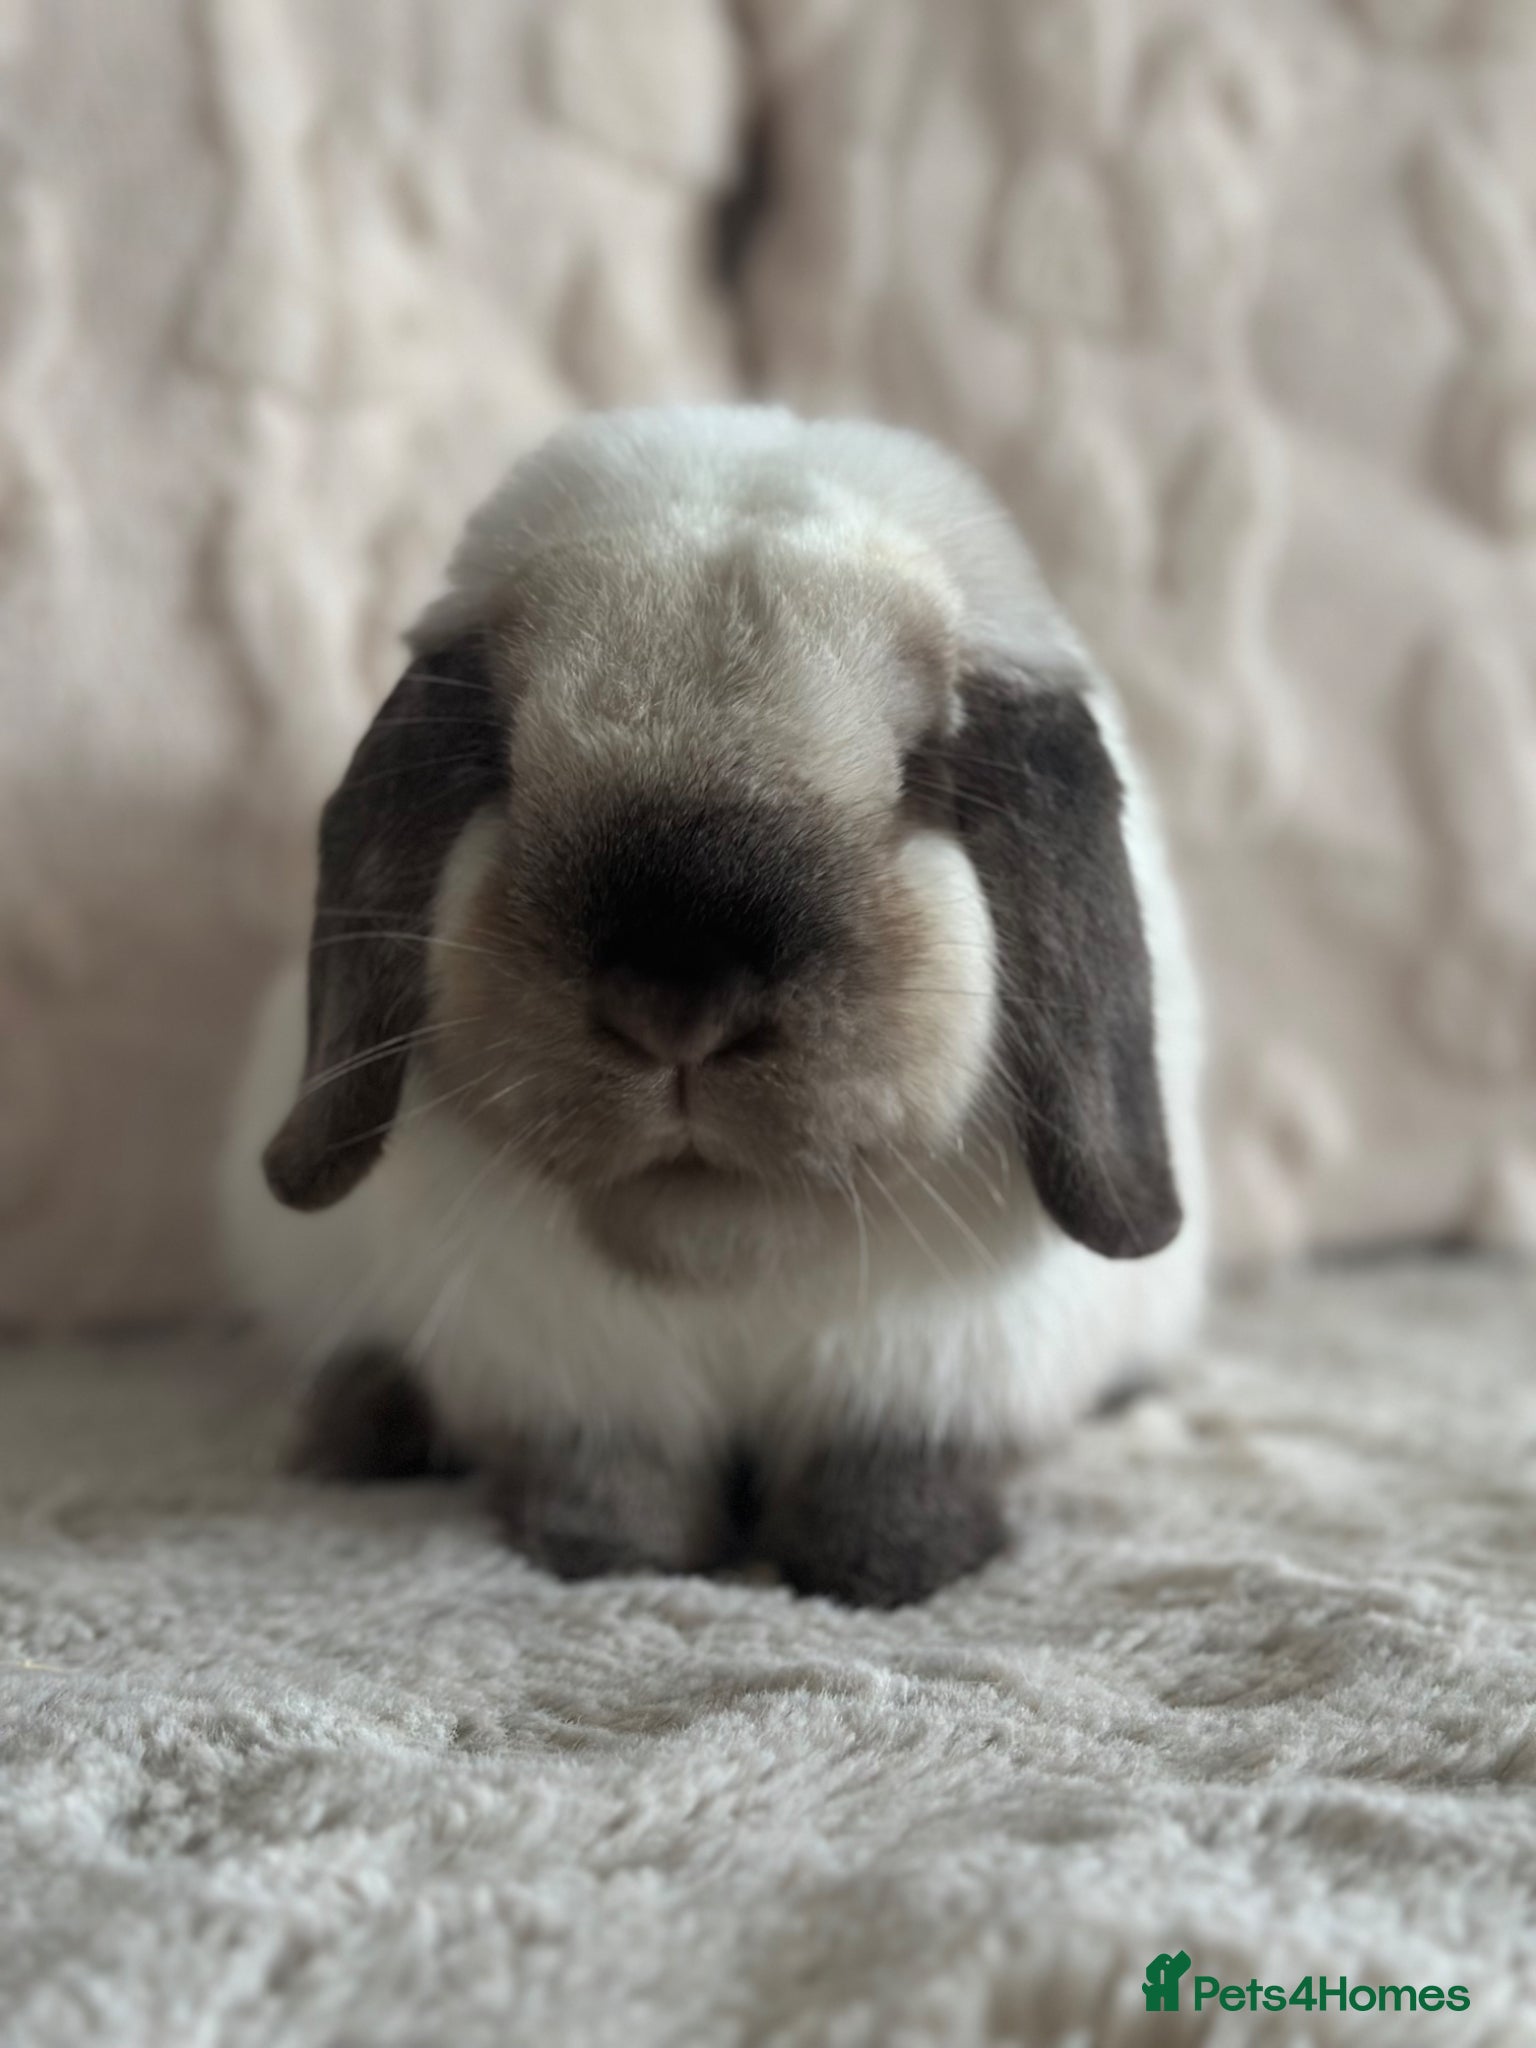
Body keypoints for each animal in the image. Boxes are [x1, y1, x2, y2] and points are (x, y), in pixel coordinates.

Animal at [220, 404, 1207, 1607]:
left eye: (926, 772)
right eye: (500, 761)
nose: (677, 1005)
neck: (722, 1251)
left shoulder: (925, 1388)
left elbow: (888, 1476)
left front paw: (886, 1572)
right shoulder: (578, 1393)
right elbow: (612, 1481)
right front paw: (606, 1555)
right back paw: (355, 1431)